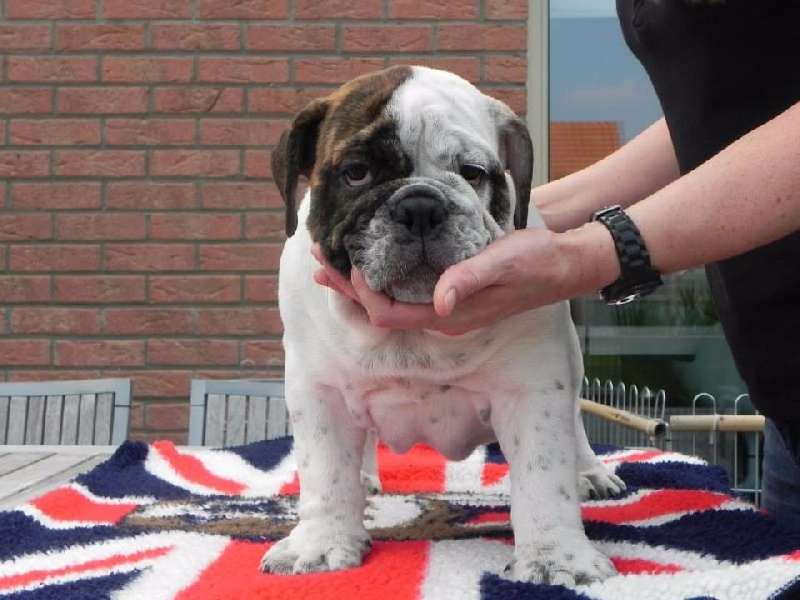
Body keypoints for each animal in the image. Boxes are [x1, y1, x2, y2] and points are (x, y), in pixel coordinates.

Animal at [264, 67, 624, 584]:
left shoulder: (534, 389)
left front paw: (557, 557)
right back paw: (365, 478)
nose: (420, 206)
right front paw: (322, 543)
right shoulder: (318, 392)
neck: (416, 335)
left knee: (574, 424)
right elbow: (325, 472)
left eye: (472, 173)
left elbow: (543, 476)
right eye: (356, 172)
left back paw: (588, 473)